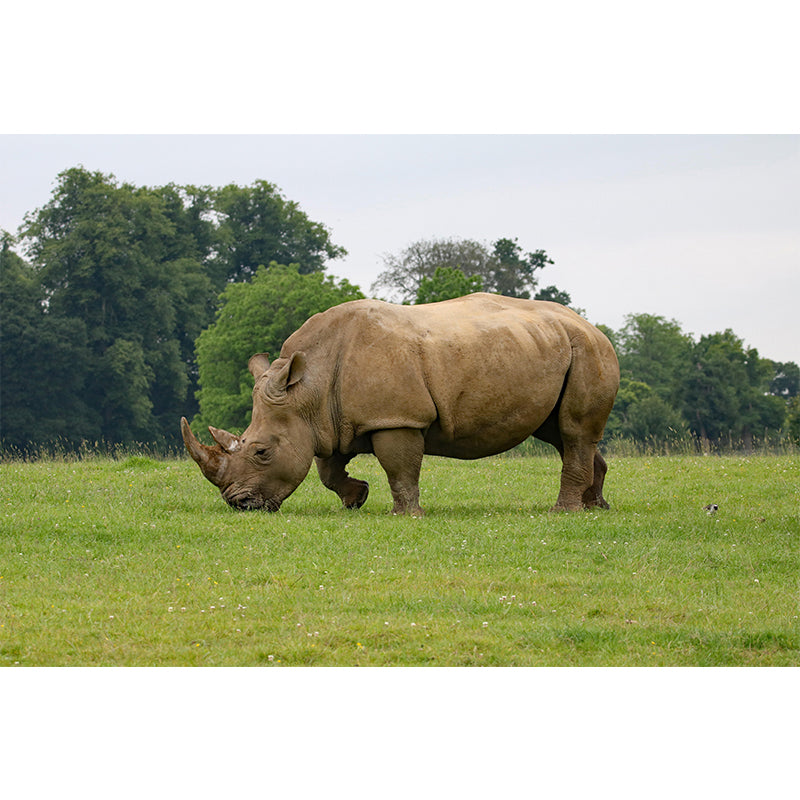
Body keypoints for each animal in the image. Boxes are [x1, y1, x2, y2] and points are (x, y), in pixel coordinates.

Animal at [181, 292, 619, 515]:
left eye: (261, 451)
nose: (239, 505)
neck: (307, 390)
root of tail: (592, 325)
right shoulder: (330, 421)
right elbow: (327, 468)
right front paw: (355, 499)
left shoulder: (396, 418)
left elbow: (400, 468)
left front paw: (405, 515)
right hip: (553, 347)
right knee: (563, 434)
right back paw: (596, 507)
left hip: (588, 350)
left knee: (573, 431)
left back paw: (564, 512)